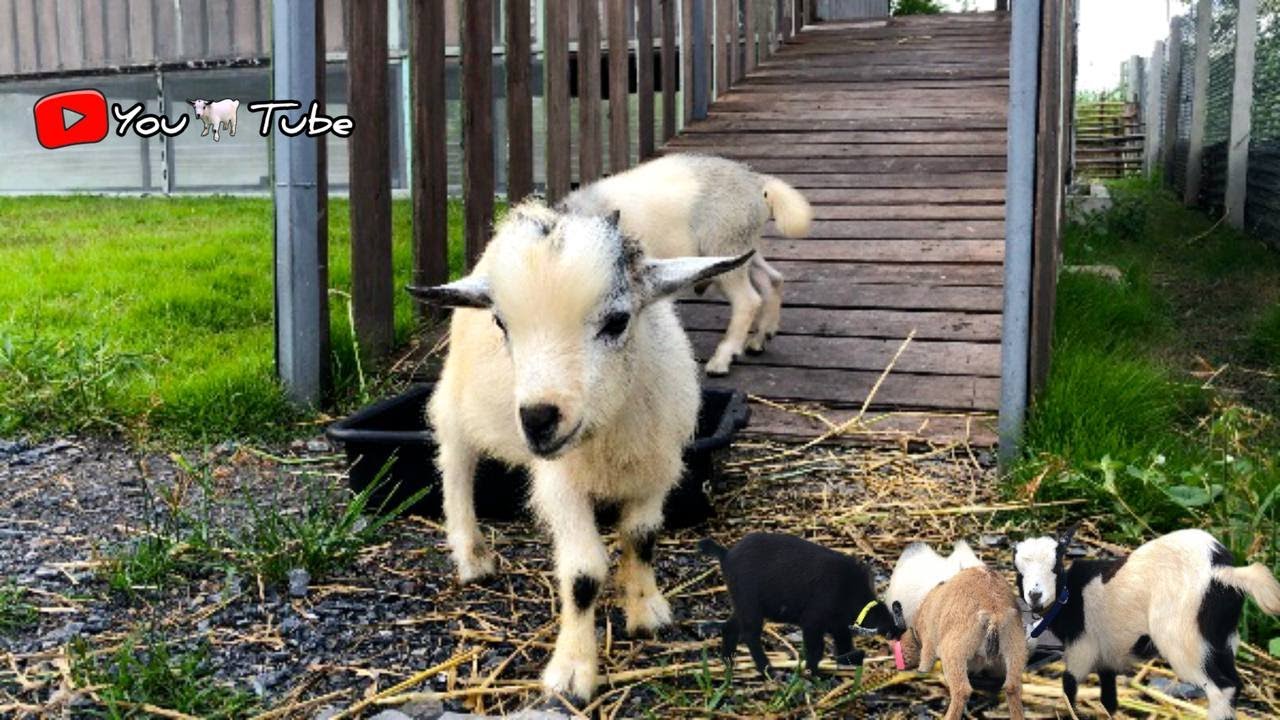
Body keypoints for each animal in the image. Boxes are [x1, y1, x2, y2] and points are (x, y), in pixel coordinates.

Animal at [408, 201, 751, 703]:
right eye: (501, 324)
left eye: (617, 321)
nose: (537, 419)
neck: (610, 430)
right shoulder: (560, 484)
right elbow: (584, 574)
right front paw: (571, 673)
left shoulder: (658, 469)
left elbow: (642, 537)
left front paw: (646, 611)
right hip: (455, 399)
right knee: (455, 465)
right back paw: (471, 556)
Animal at [559, 153, 812, 376]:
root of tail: (758, 183)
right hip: (741, 248)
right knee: (772, 278)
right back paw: (760, 338)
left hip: (724, 246)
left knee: (748, 300)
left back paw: (722, 359)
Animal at [699, 532, 904, 678]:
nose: (898, 633)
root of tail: (726, 554)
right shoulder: (813, 621)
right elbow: (816, 648)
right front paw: (812, 673)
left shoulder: (837, 625)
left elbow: (844, 643)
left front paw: (850, 660)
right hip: (750, 605)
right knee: (750, 635)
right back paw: (767, 670)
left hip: (742, 604)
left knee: (729, 627)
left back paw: (728, 660)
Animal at [896, 566, 1028, 720]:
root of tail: (995, 614)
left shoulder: (929, 644)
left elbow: (925, 665)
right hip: (1016, 650)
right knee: (1012, 687)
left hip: (953, 653)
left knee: (962, 690)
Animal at [1014, 526, 1280, 719]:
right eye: (1019, 572)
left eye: (1056, 566)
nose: (1035, 595)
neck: (1070, 597)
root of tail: (1222, 572)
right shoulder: (1107, 653)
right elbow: (1108, 695)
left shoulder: (1083, 646)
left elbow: (1069, 684)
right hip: (1221, 639)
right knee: (1234, 682)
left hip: (1184, 640)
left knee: (1221, 689)